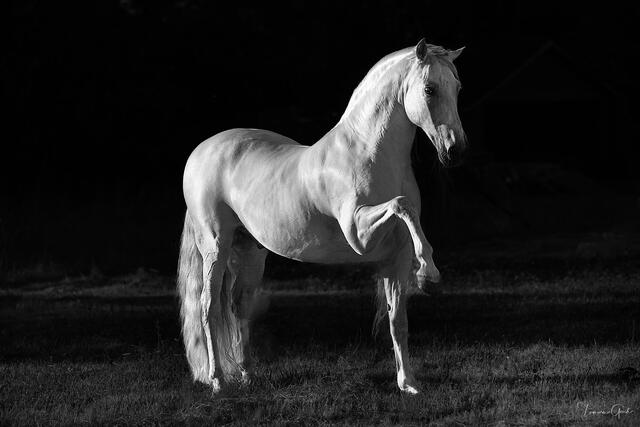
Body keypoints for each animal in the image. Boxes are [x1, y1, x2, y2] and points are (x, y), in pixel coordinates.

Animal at [177, 38, 467, 394]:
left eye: (457, 87)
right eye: (429, 89)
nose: (455, 152)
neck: (368, 153)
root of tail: (201, 151)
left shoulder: (395, 259)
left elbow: (397, 321)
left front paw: (408, 383)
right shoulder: (359, 234)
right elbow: (402, 206)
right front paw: (429, 272)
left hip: (250, 251)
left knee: (238, 305)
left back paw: (247, 375)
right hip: (214, 247)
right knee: (208, 308)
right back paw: (217, 381)